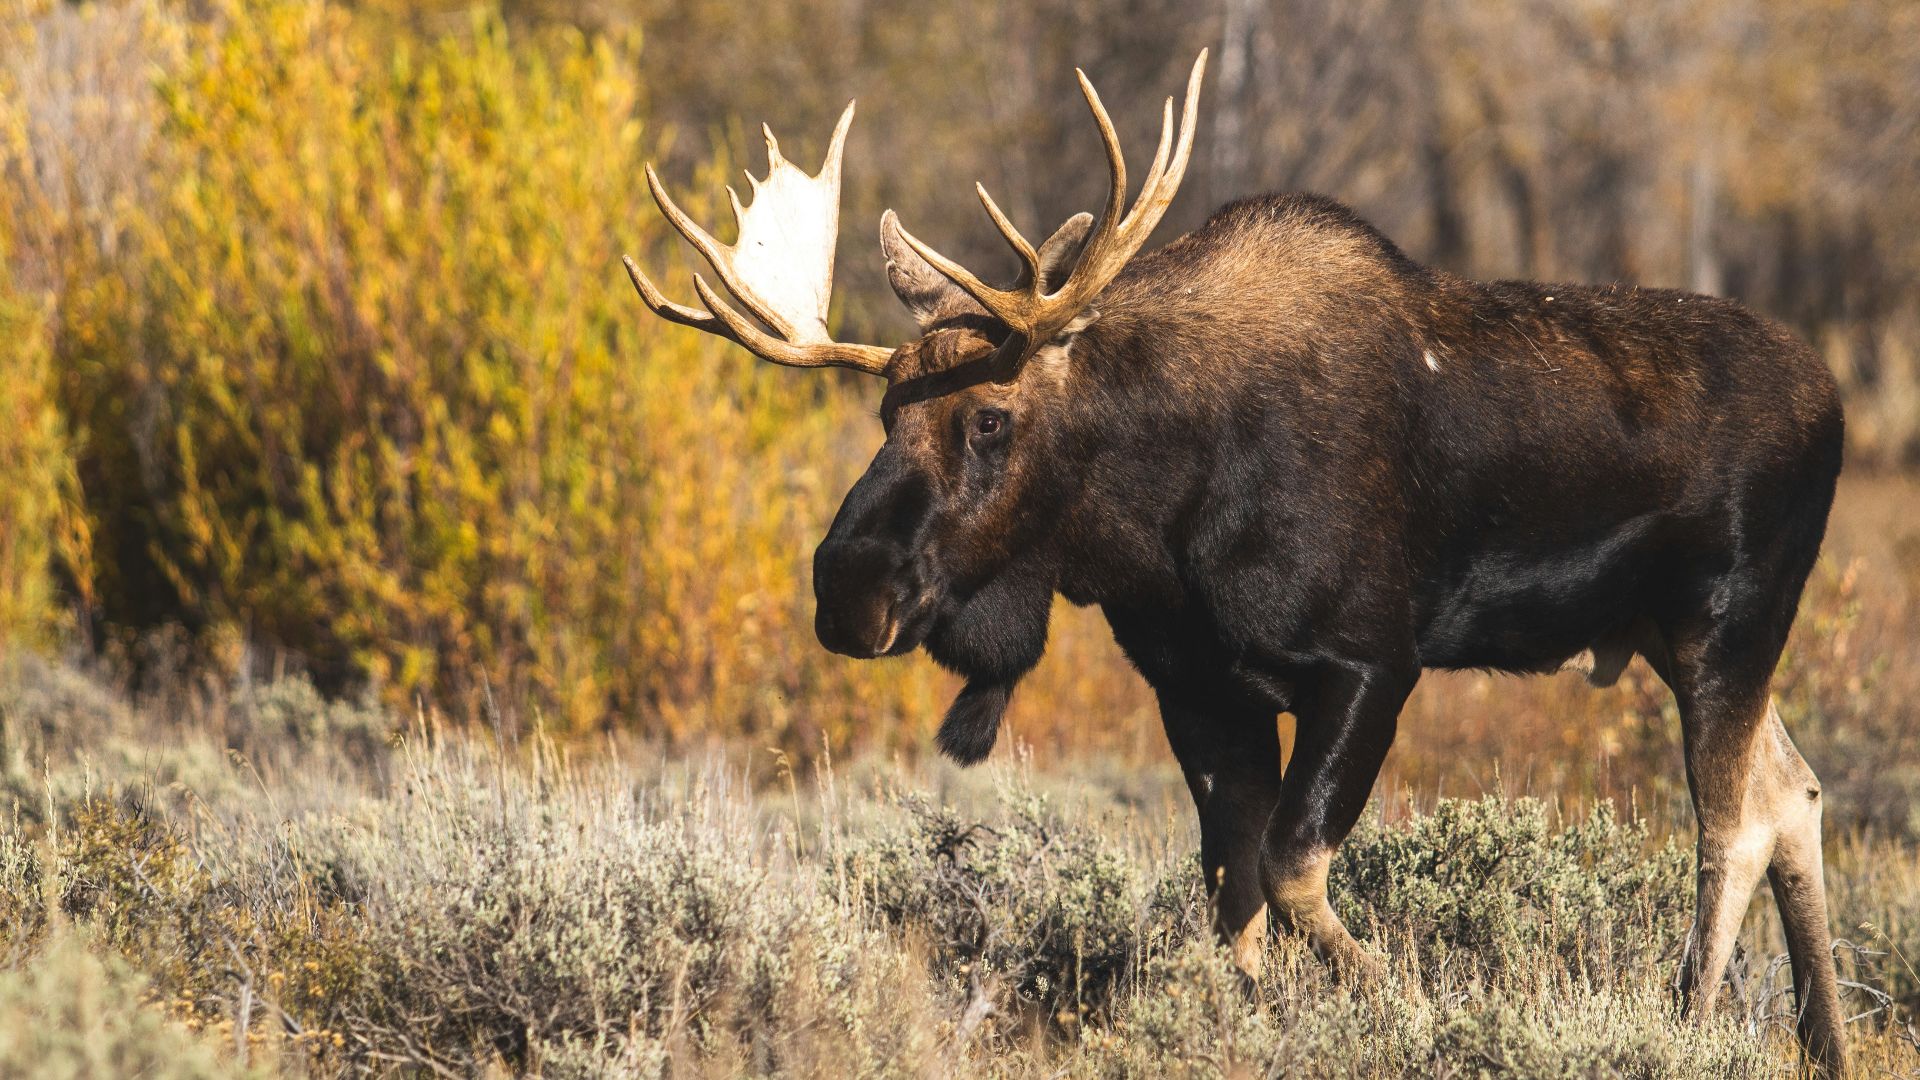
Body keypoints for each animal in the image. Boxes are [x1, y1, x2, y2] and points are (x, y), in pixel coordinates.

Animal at [622, 52, 1849, 1075]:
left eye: (990, 418)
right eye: (886, 411)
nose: (848, 587)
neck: (1157, 523)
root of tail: (1834, 401)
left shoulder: (1369, 664)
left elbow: (1294, 867)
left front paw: (1408, 1009)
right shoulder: (1200, 687)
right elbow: (1235, 889)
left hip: (1728, 620)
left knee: (1731, 821)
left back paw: (1688, 1022)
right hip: (1666, 634)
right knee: (1793, 789)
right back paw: (1823, 1043)